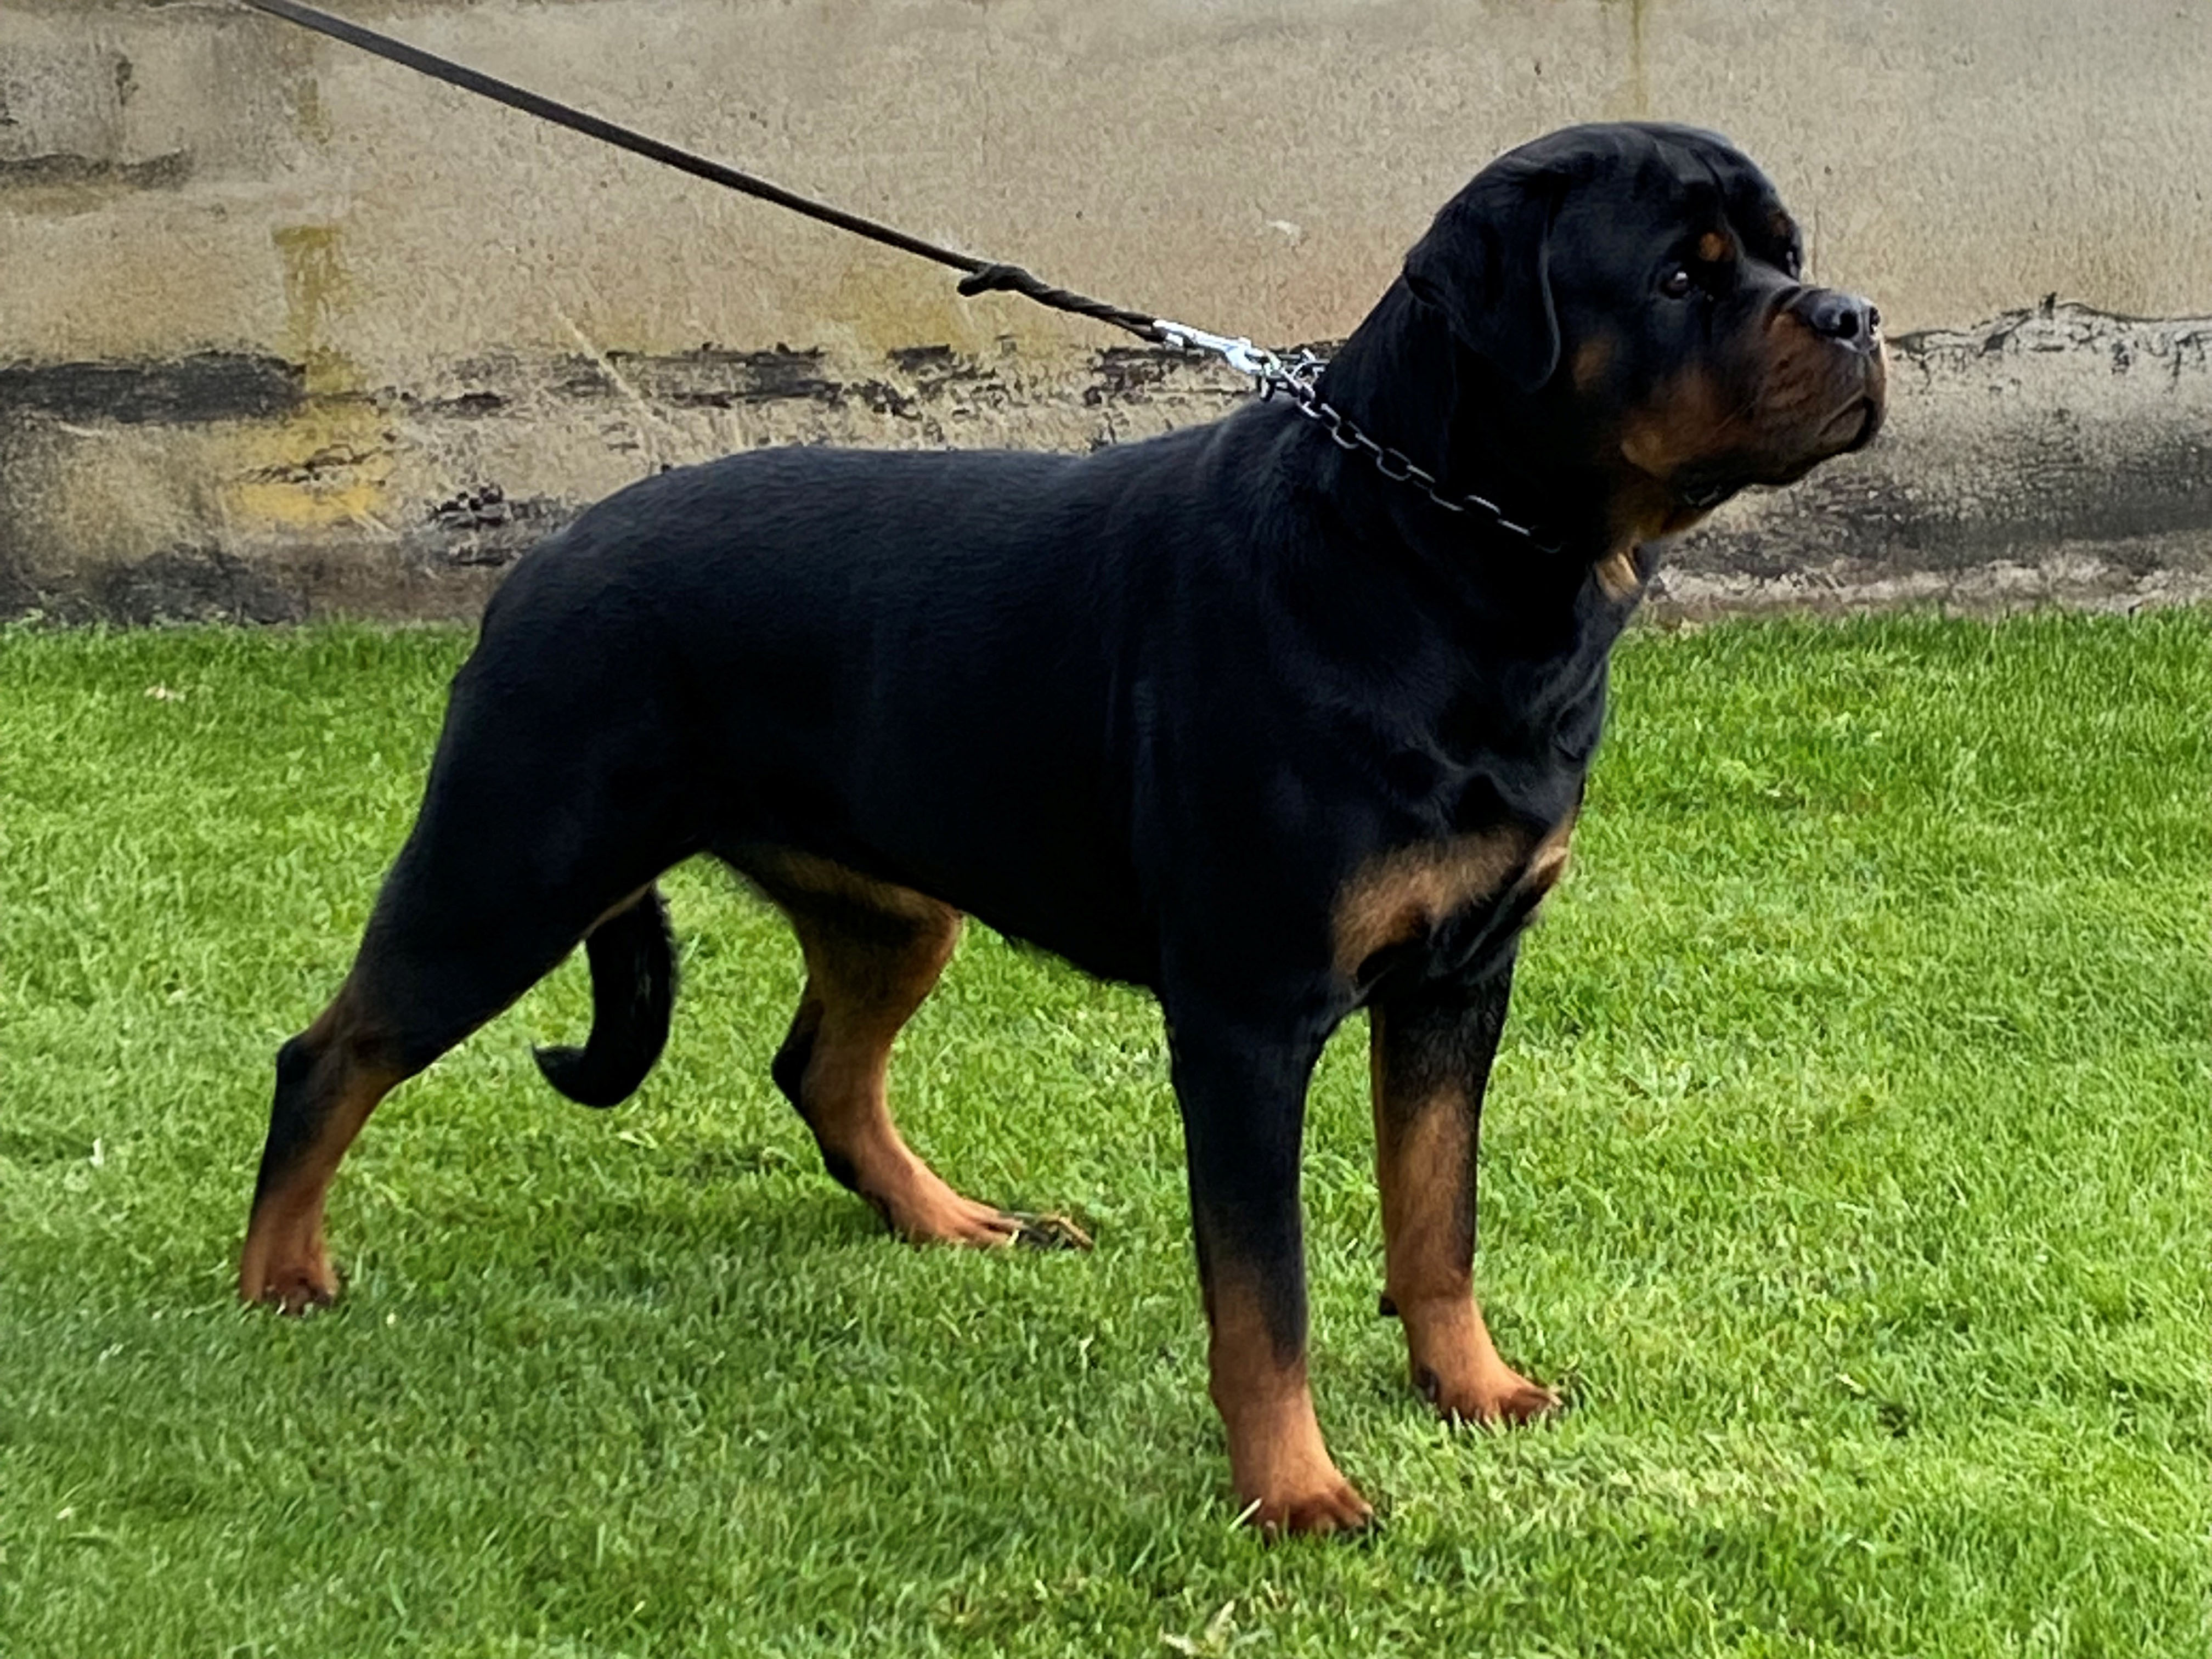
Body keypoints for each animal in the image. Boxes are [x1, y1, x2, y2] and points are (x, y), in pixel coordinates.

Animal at [239, 122, 1885, 1535]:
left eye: (1786, 250)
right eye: (1682, 276)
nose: (1858, 314)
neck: (1445, 556)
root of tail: (542, 559)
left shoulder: (1459, 980)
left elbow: (1439, 1216)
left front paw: (1472, 1389)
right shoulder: (1248, 1014)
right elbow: (1265, 1293)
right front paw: (1296, 1494)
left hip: (891, 905)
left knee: (820, 1067)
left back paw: (952, 1221)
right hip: (511, 865)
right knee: (330, 1054)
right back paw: (278, 1277)